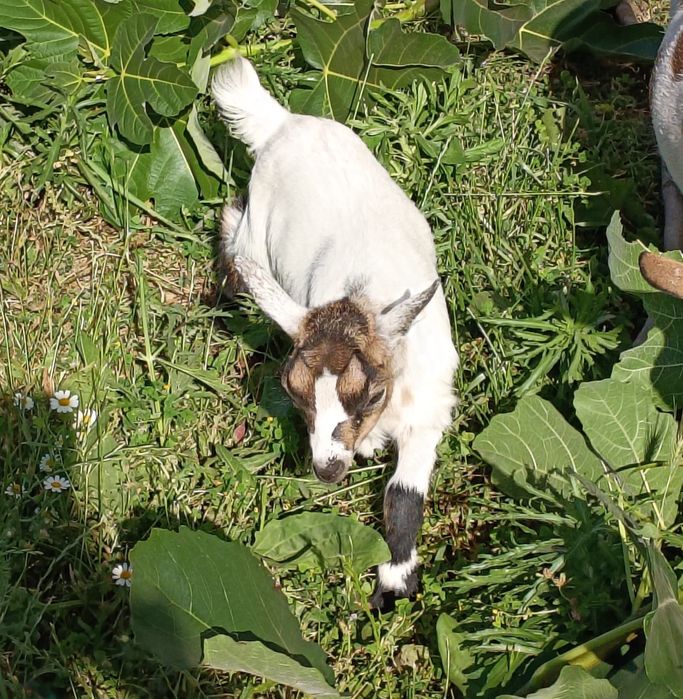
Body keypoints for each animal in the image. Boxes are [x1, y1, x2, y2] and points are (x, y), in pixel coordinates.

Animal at [211, 57, 458, 607]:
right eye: (291, 391)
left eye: (372, 395)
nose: (327, 469)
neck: (362, 292)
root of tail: (281, 123)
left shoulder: (427, 407)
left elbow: (404, 496)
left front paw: (395, 584)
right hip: (255, 229)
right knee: (235, 229)